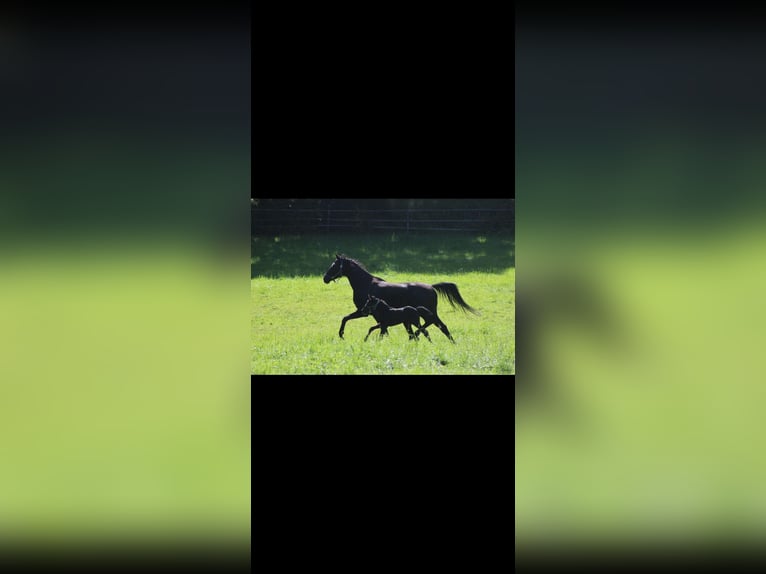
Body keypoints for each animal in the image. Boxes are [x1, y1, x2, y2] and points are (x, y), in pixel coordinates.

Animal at [323, 253, 479, 343]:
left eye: (335, 265)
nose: (325, 278)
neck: (365, 284)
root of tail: (432, 287)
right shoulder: (372, 315)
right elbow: (379, 328)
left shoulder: (363, 311)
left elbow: (345, 318)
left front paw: (341, 335)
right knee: (440, 326)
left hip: (429, 312)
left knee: (435, 324)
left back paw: (418, 335)